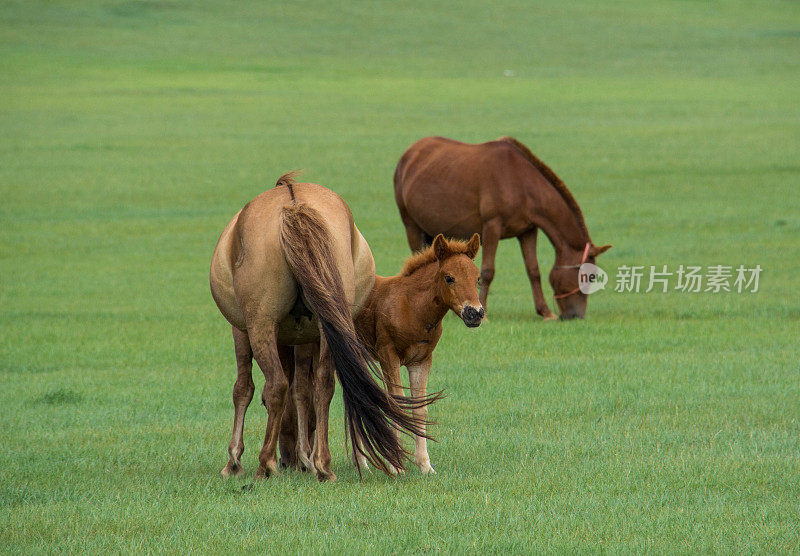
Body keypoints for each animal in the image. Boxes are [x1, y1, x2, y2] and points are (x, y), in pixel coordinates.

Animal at [206, 174, 432, 482]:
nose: (287, 460)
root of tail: (294, 203)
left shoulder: (240, 331)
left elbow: (245, 389)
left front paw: (234, 461)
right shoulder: (306, 338)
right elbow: (305, 391)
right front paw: (307, 457)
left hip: (260, 325)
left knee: (277, 384)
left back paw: (266, 464)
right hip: (330, 326)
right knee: (324, 384)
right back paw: (322, 465)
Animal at [282, 232, 482, 476]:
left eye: (477, 278)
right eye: (449, 278)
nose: (475, 313)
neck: (412, 307)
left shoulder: (422, 360)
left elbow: (420, 409)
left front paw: (425, 465)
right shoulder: (388, 354)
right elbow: (395, 402)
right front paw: (396, 465)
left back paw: (360, 462)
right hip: (309, 348)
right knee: (301, 391)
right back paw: (308, 460)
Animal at [394, 136, 612, 322]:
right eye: (590, 276)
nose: (576, 315)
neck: (519, 181)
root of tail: (409, 154)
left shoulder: (528, 232)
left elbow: (533, 270)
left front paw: (546, 312)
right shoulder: (492, 227)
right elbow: (488, 271)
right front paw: (484, 314)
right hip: (411, 225)